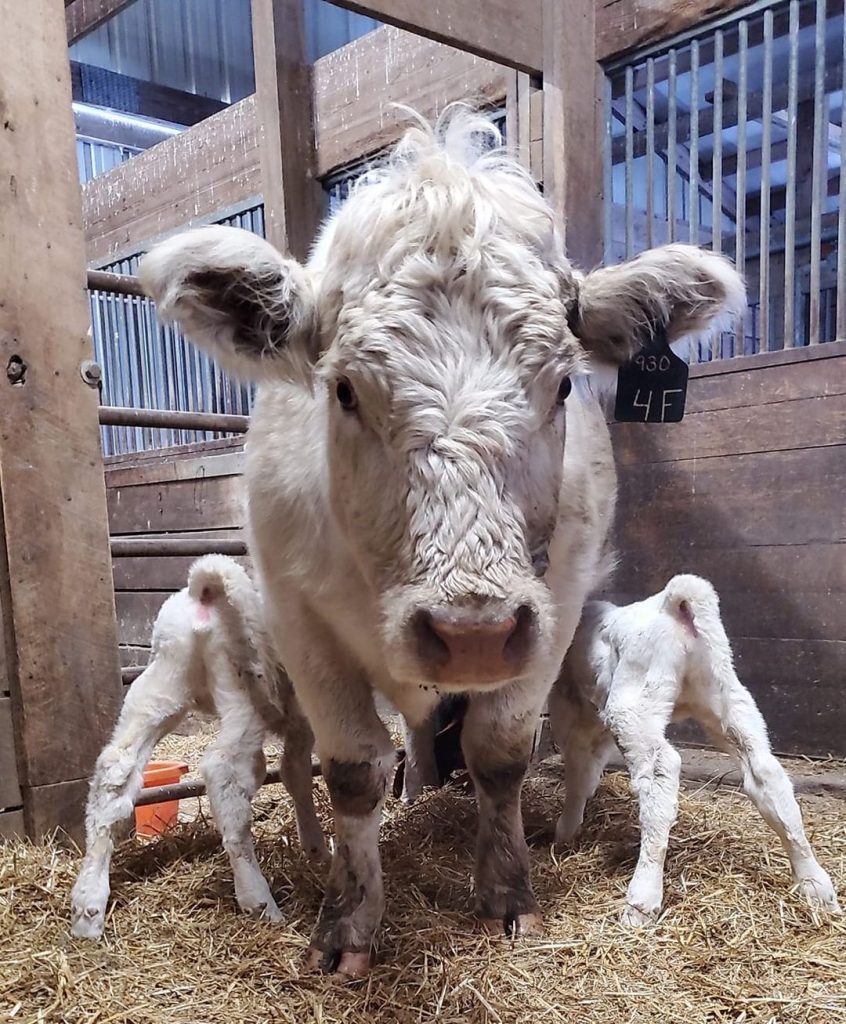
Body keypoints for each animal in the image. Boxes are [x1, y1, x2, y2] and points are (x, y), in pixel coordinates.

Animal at [69, 557, 325, 937]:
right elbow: (300, 771)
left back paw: (88, 906)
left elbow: (295, 774)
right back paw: (259, 901)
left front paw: (316, 850)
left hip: (162, 684)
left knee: (115, 771)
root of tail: (205, 591)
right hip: (243, 691)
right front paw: (318, 848)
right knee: (223, 771)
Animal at [140, 105, 745, 974]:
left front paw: (508, 895)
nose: (472, 632)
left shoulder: (552, 608)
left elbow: (500, 753)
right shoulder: (302, 618)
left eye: (564, 384)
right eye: (344, 390)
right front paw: (348, 923)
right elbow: (352, 768)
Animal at [548, 577, 835, 929]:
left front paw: (565, 833)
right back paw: (814, 883)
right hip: (727, 697)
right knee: (766, 773)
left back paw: (641, 900)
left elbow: (578, 775)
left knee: (661, 773)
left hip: (633, 707)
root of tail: (672, 605)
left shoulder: (568, 713)